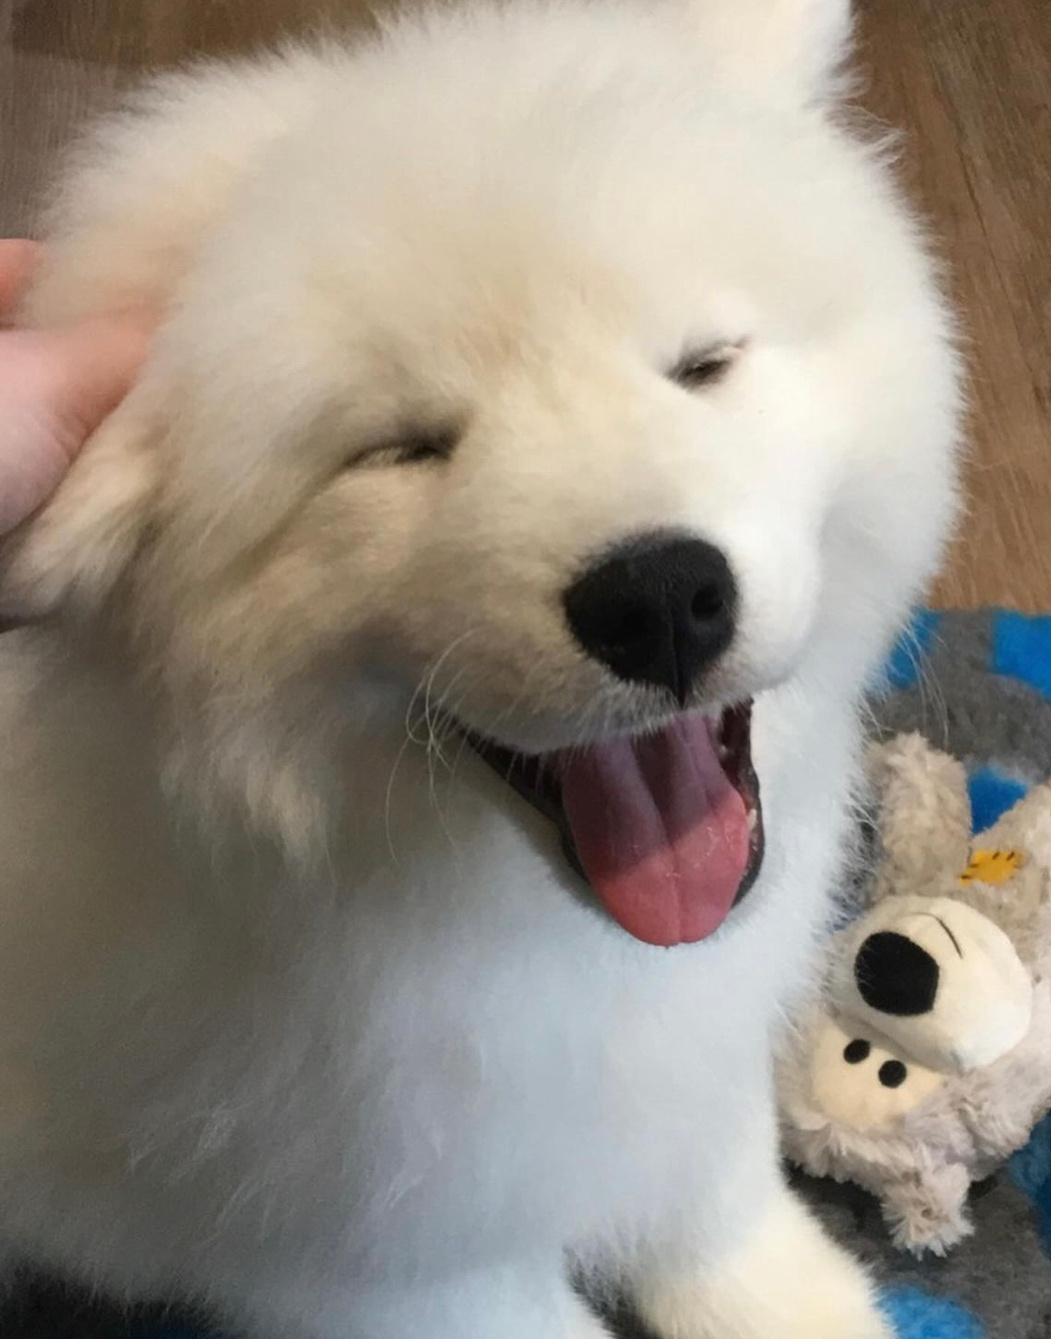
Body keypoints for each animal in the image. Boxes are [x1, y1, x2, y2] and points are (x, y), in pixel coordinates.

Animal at [0, 1, 960, 1335]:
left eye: (703, 362)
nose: (657, 599)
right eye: (401, 450)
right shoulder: (367, 1253)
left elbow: (713, 1202)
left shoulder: (677, 1062)